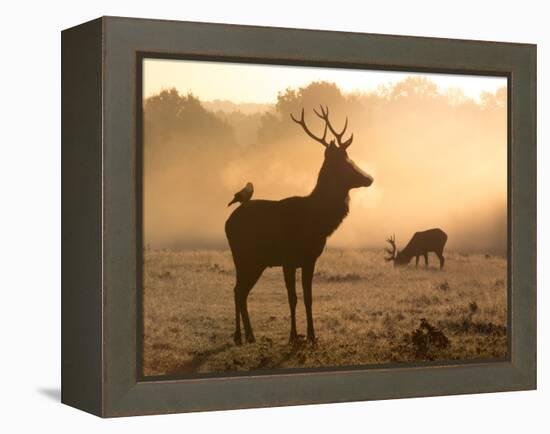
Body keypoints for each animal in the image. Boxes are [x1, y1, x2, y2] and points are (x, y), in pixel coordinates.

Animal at [225, 106, 376, 346]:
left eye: (350, 158)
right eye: (345, 163)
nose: (369, 178)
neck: (316, 221)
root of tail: (227, 223)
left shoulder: (310, 259)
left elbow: (308, 297)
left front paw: (312, 337)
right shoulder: (288, 259)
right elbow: (292, 298)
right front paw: (293, 337)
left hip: (255, 262)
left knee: (241, 290)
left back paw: (249, 335)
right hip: (244, 256)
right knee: (238, 290)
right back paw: (240, 336)